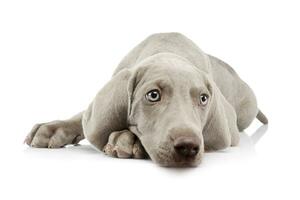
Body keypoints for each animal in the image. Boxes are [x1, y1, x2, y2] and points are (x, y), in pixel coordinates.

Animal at [24, 33, 268, 167]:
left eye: (203, 99)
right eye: (153, 95)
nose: (188, 147)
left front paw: (125, 139)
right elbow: (83, 117)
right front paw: (51, 129)